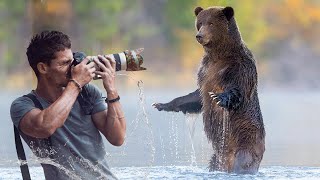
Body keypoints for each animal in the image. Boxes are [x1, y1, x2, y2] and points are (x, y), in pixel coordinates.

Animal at [152, 6, 264, 174]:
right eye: (200, 23)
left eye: (211, 23)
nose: (199, 35)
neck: (219, 56)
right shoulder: (205, 72)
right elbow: (196, 97)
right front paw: (161, 104)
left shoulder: (239, 68)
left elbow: (237, 91)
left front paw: (219, 98)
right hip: (217, 156)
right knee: (214, 163)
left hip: (246, 139)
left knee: (243, 160)